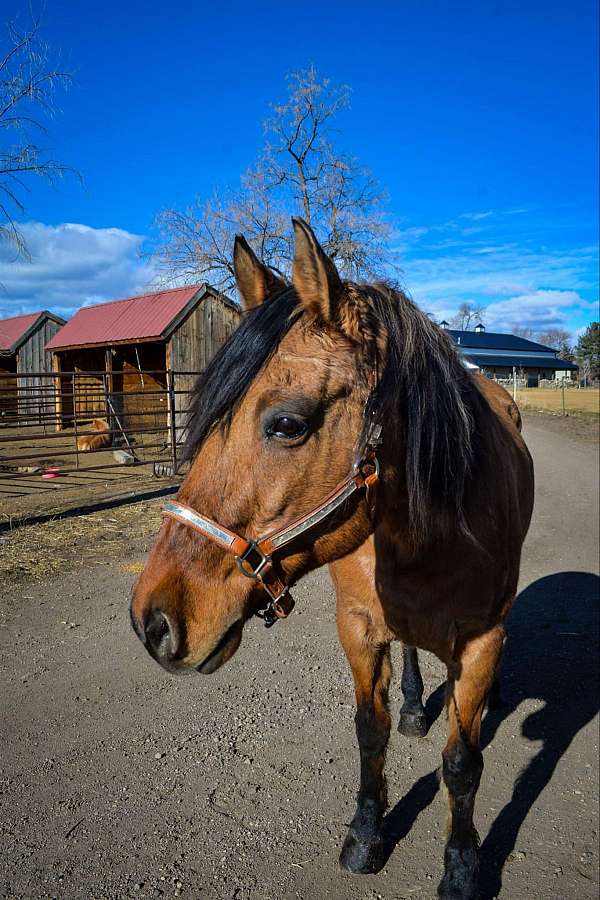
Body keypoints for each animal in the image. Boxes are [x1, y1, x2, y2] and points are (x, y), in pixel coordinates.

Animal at [131, 220, 536, 900]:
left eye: (287, 423)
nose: (152, 620)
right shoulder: (358, 626)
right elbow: (370, 734)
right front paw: (367, 833)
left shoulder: (481, 641)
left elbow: (462, 762)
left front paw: (461, 865)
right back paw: (414, 706)